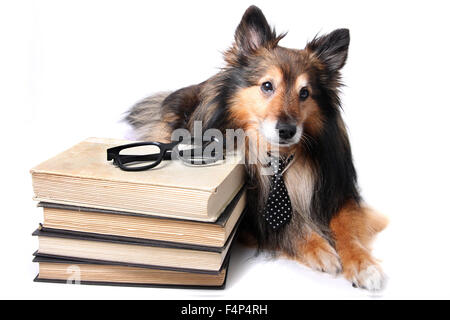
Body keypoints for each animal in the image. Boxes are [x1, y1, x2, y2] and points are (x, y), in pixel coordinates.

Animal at [125, 5, 388, 290]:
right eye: (267, 85)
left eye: (305, 93)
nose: (287, 130)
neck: (281, 157)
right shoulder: (251, 218)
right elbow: (284, 226)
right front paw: (321, 250)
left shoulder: (339, 192)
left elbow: (346, 227)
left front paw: (363, 265)